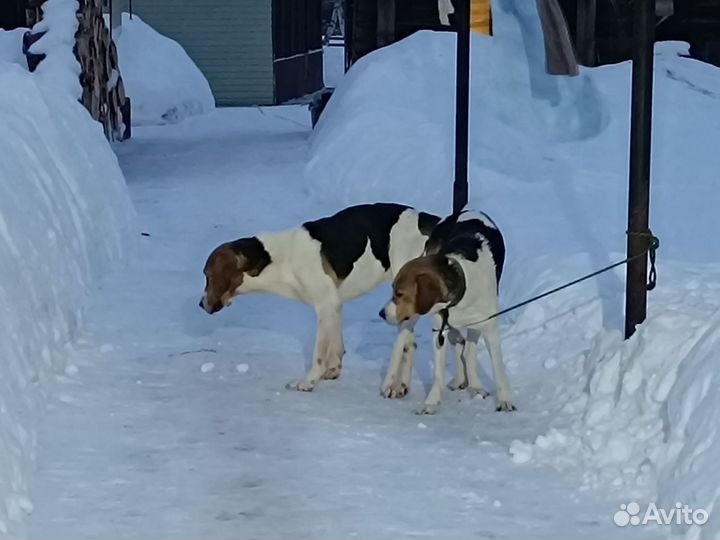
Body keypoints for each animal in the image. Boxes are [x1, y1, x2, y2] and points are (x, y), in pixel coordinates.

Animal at [200, 202, 442, 392]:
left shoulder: (326, 305)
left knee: (403, 342)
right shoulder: (334, 305)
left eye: (207, 276)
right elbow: (336, 345)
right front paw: (333, 369)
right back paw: (401, 387)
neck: (277, 259)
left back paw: (391, 385)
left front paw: (308, 381)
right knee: (411, 345)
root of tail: (430, 220)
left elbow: (318, 354)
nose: (201, 304)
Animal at [380, 210, 516, 414]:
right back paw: (390, 382)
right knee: (401, 340)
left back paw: (474, 385)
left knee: (467, 350)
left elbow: (497, 367)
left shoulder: (489, 327)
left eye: (400, 293)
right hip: (414, 315)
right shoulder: (439, 331)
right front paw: (431, 401)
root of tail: (467, 211)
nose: (381, 313)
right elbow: (438, 373)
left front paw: (505, 400)